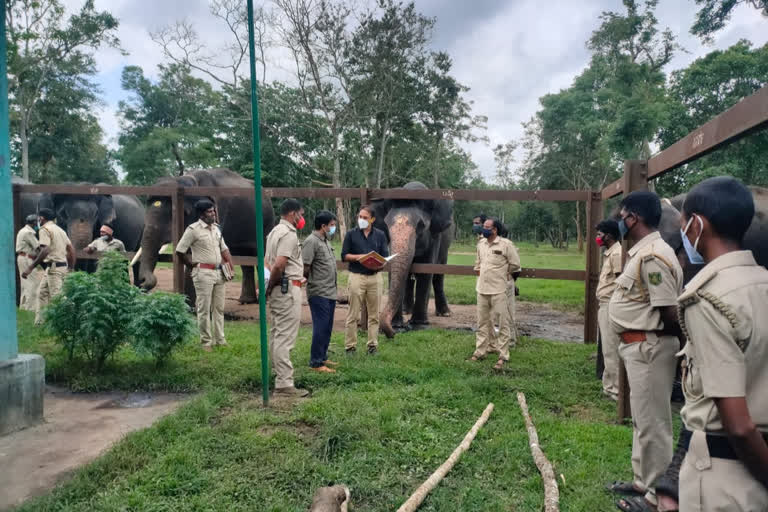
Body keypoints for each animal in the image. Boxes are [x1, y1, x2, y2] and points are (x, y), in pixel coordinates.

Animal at [138, 168, 276, 306]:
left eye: (183, 212)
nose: (142, 281)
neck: (188, 179)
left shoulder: (219, 210)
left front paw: (189, 307)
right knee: (245, 257)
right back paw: (246, 301)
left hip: (267, 222)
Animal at [374, 182, 456, 338]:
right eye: (386, 225)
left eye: (421, 226)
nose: (390, 333)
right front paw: (398, 326)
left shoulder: (435, 237)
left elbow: (426, 271)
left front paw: (418, 325)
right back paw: (407, 310)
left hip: (445, 247)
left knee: (438, 276)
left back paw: (445, 313)